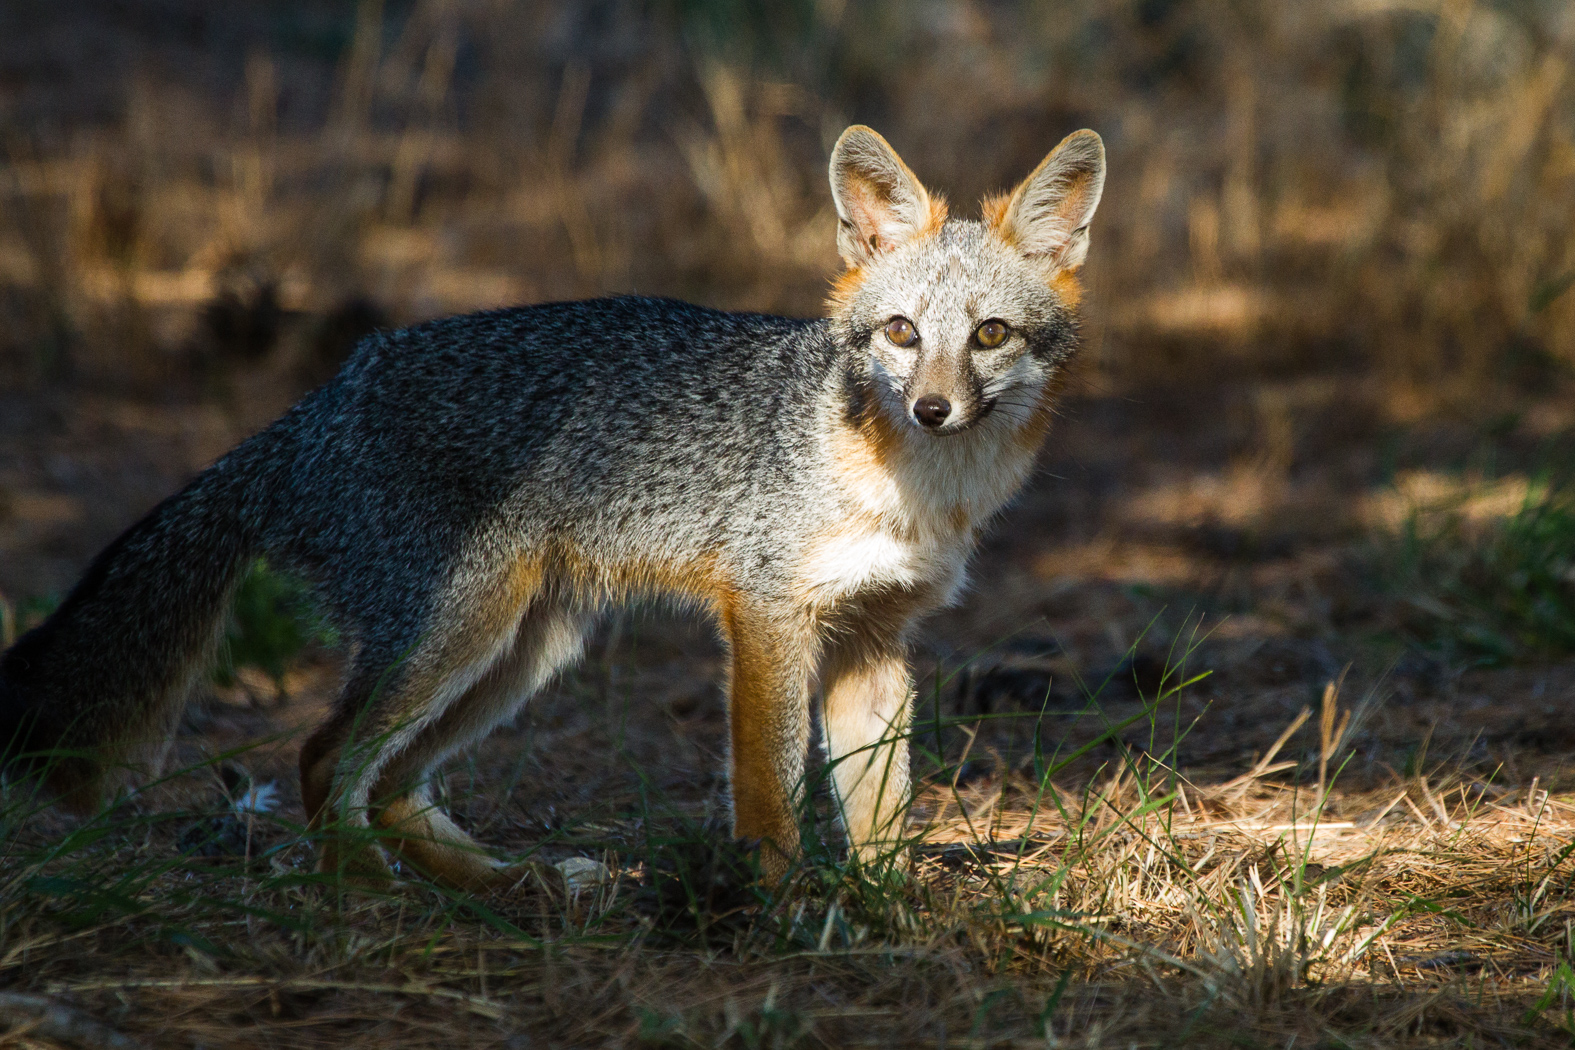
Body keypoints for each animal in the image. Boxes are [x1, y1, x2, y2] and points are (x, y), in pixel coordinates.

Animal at [0, 125, 1105, 887]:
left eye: (990, 335)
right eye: (903, 332)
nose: (932, 408)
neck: (906, 485)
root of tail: (324, 399)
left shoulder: (876, 636)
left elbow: (881, 809)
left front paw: (883, 912)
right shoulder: (766, 616)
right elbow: (770, 792)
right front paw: (778, 903)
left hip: (528, 649)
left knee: (389, 787)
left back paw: (504, 887)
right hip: (460, 628)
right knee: (321, 761)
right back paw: (366, 890)